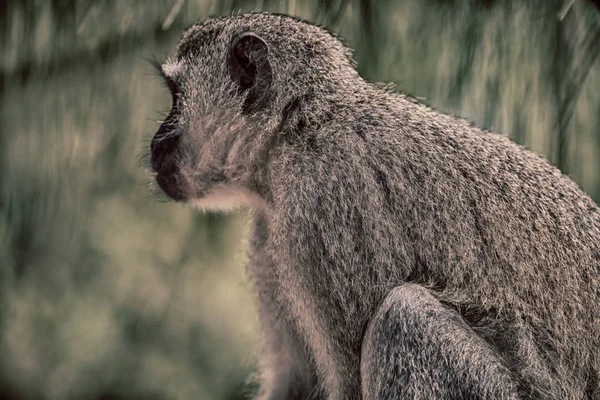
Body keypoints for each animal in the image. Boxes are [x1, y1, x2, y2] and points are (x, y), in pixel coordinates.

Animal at [149, 12, 600, 400]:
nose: (156, 142)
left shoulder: (324, 208)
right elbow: (298, 383)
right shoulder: (271, 233)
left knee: (404, 317)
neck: (299, 130)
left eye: (176, 96)